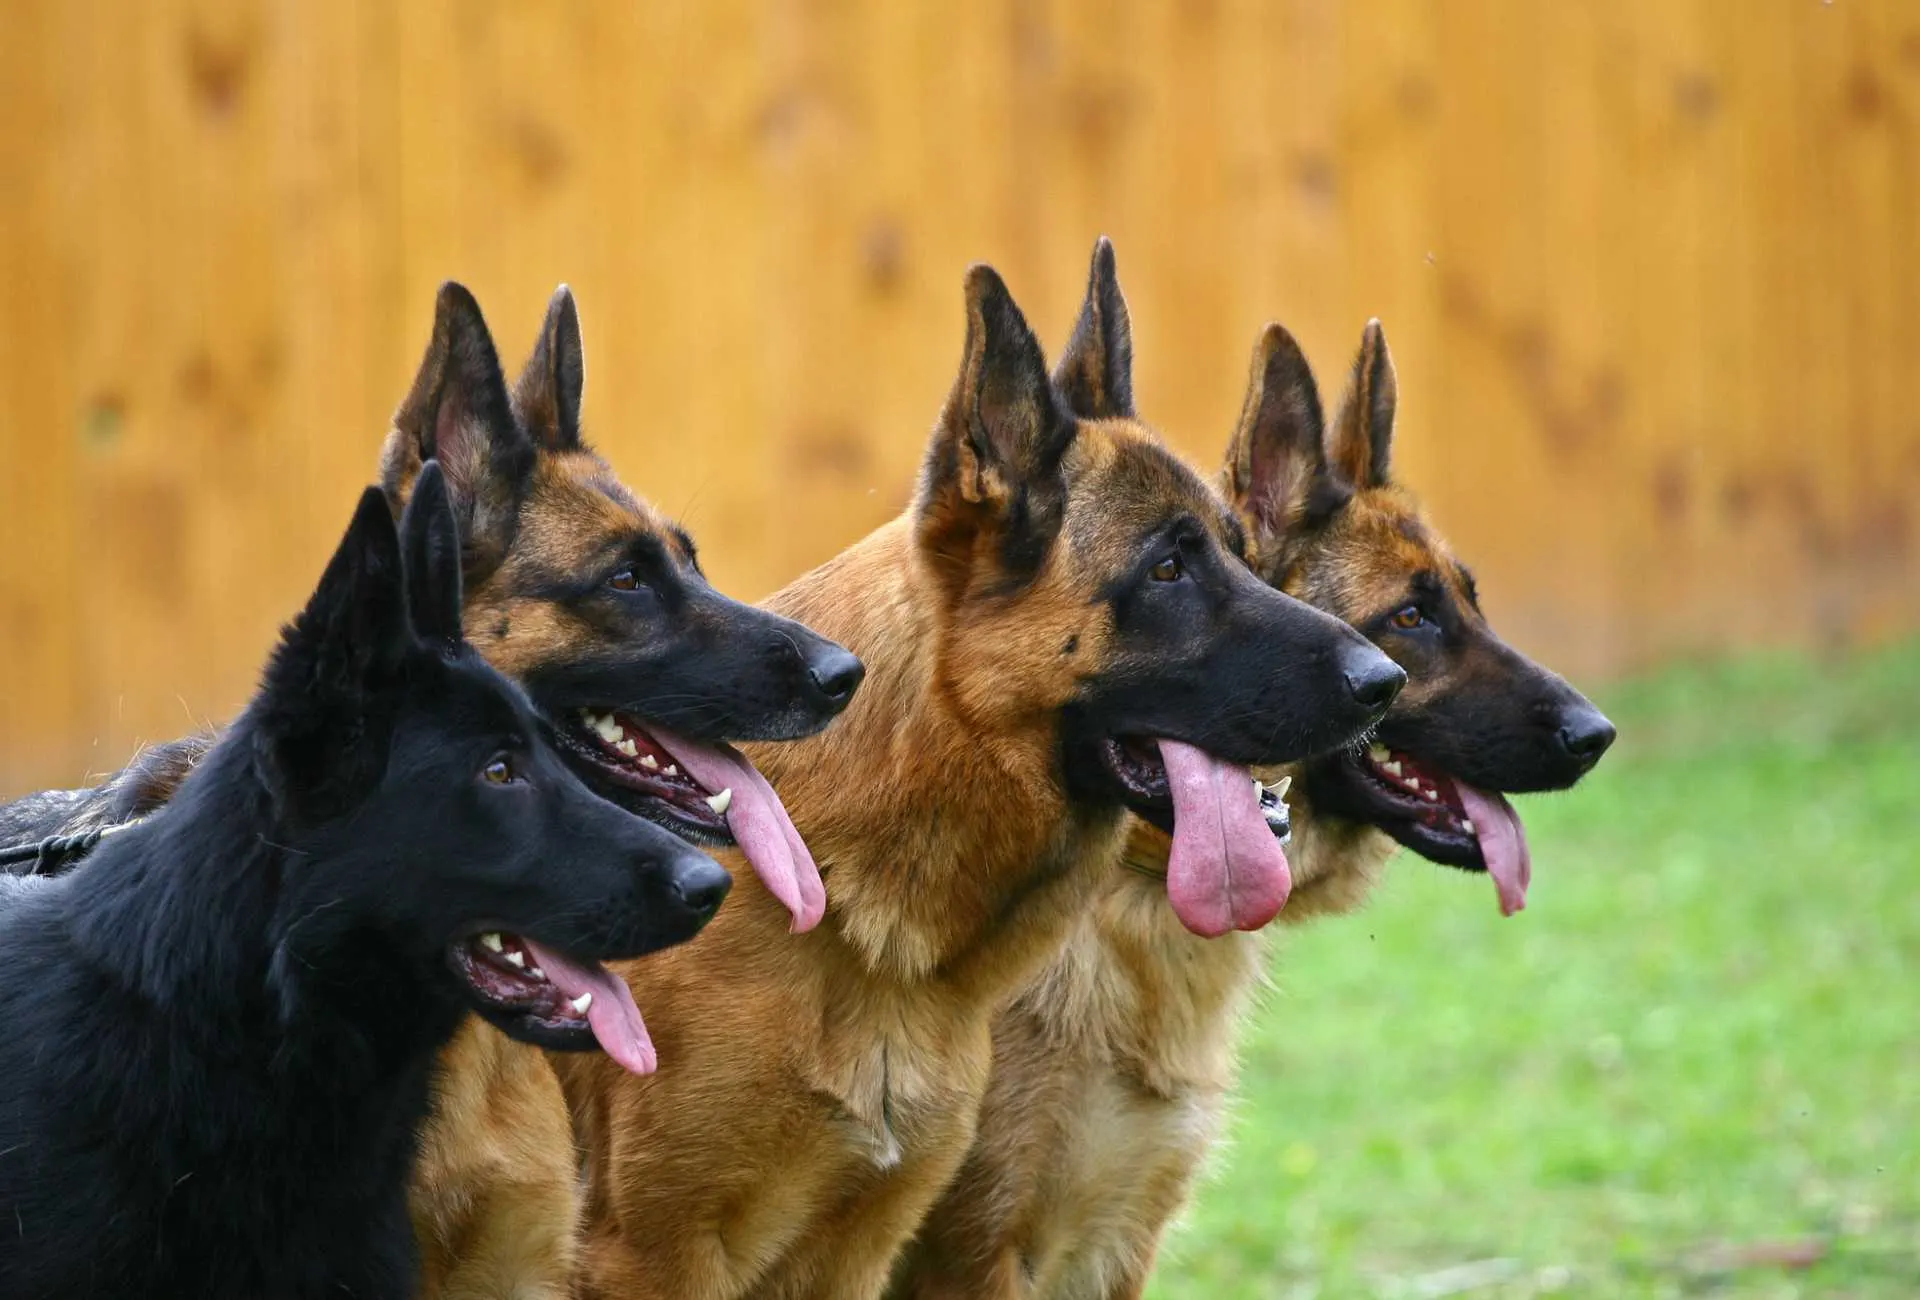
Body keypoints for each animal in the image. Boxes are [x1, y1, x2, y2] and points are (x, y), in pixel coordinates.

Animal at [545, 245, 1413, 1298]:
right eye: (1168, 569)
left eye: (1242, 555)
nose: (1384, 684)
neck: (838, 901)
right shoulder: (655, 1256)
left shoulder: (863, 1251)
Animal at [890, 316, 1612, 1298]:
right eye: (1411, 619)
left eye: (1471, 602)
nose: (1597, 734)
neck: (1135, 880)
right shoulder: (973, 1256)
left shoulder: (1114, 1246)